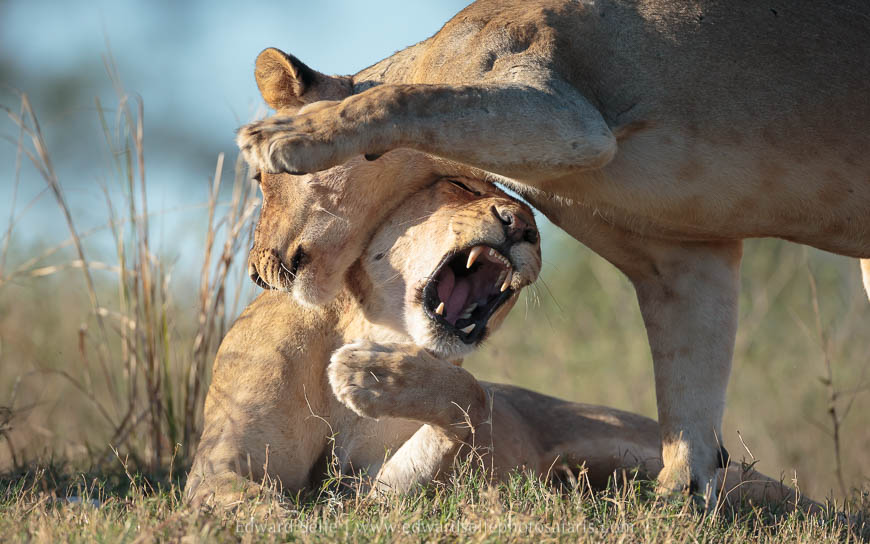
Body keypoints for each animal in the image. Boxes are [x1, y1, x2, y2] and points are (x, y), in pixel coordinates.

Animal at [185, 174, 820, 515]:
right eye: (460, 185)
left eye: (535, 220)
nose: (523, 226)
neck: (375, 327)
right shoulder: (222, 466)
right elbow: (261, 501)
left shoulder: (386, 492)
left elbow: (474, 396)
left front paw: (374, 376)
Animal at [234, 0, 870, 501]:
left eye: (260, 183)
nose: (257, 272)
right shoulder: (683, 257)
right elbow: (689, 405)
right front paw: (675, 506)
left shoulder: (565, 113)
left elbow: (404, 98)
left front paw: (285, 136)